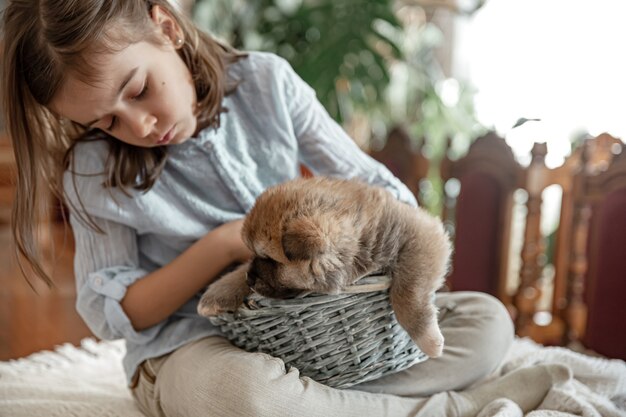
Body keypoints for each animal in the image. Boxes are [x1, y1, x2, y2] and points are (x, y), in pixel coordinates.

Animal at [197, 177, 450, 356]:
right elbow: (238, 271)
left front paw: (428, 340)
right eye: (253, 253)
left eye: (271, 259)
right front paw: (216, 295)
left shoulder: (419, 234)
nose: (250, 279)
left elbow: (406, 292)